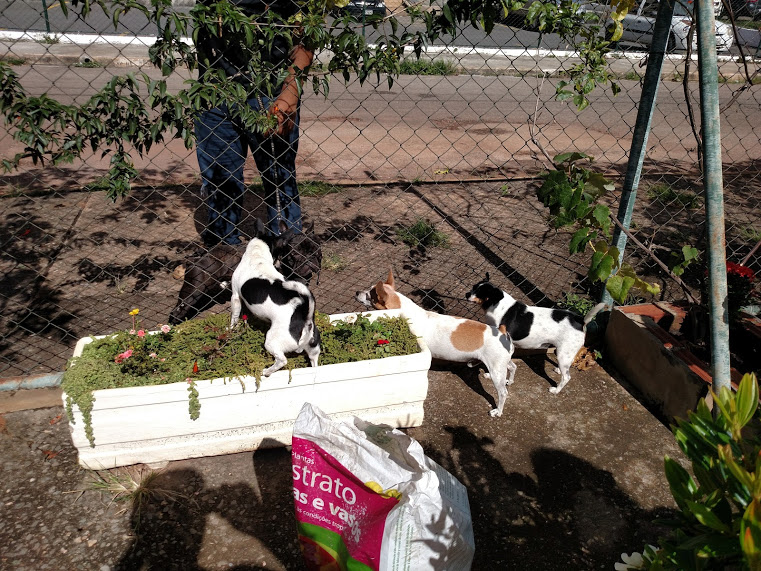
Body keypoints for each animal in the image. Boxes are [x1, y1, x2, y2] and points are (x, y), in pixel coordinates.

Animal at [356, 270, 516, 418]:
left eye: (370, 295)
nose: (357, 292)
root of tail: (502, 331)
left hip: (496, 369)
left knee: (503, 393)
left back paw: (498, 411)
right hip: (502, 364)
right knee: (513, 366)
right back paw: (509, 380)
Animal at [466, 274, 604, 396]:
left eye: (479, 293)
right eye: (473, 287)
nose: (466, 294)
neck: (498, 305)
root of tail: (580, 320)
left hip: (563, 354)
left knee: (567, 377)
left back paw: (556, 390)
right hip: (565, 353)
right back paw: (559, 370)